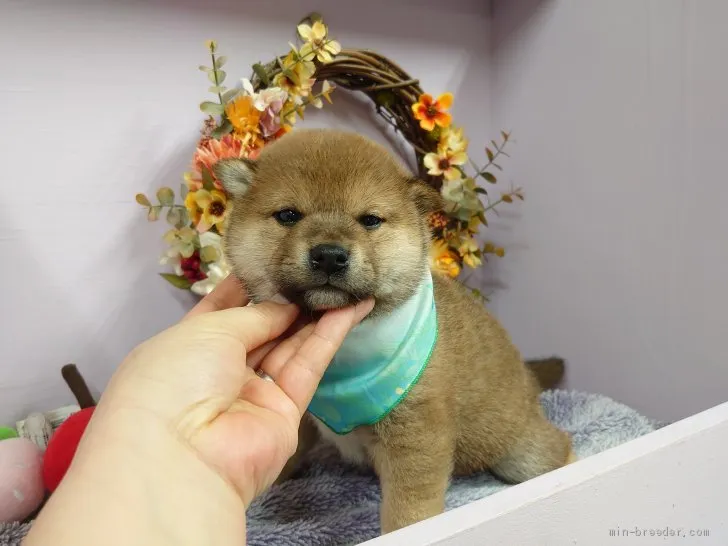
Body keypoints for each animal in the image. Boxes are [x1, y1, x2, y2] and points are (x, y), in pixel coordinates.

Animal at [215, 129, 576, 532]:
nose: (329, 255)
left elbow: (408, 511)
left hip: (521, 449)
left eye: (370, 220)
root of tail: (528, 378)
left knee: (558, 448)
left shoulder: (415, 432)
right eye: (288, 215)